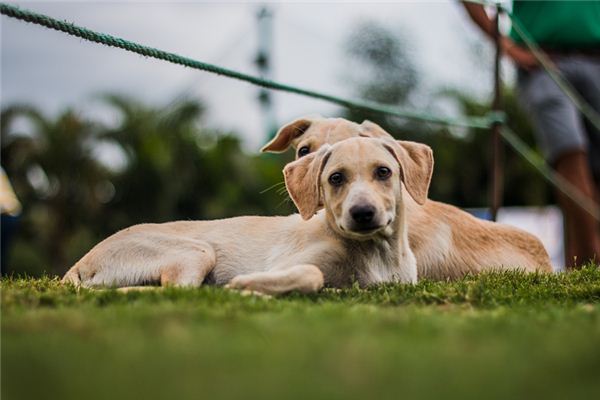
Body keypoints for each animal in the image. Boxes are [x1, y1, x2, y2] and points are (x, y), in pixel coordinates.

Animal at [63, 138, 434, 294]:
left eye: (383, 172)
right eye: (336, 178)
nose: (362, 214)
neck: (376, 253)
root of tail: (81, 262)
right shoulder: (284, 265)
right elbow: (312, 274)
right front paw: (246, 284)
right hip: (198, 251)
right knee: (174, 291)